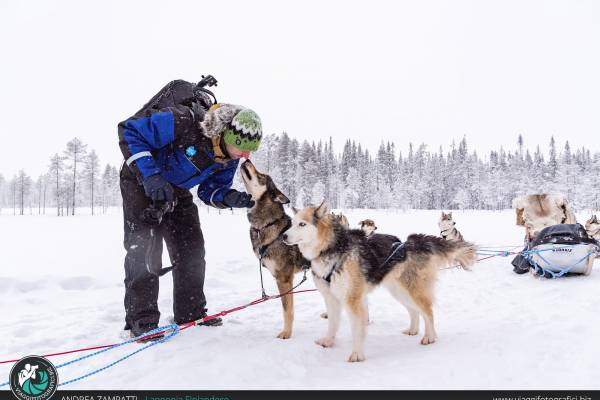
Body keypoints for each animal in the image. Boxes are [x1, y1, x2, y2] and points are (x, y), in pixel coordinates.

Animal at [240, 159, 310, 338]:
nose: (247, 160)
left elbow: (287, 310)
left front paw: (286, 333)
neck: (265, 226)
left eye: (262, 176)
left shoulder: (283, 279)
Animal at [284, 202, 476, 360]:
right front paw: (329, 341)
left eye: (302, 224)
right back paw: (413, 330)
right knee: (415, 311)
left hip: (413, 290)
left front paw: (357, 354)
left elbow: (357, 329)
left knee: (428, 312)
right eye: (292, 223)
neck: (331, 249)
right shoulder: (331, 298)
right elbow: (332, 323)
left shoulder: (353, 300)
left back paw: (430, 337)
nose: (283, 237)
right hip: (399, 292)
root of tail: (412, 242)